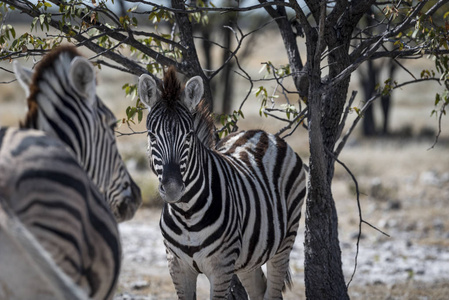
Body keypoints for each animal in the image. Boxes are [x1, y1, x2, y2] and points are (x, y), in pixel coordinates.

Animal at [138, 68, 306, 300]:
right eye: (151, 135)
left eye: (189, 135)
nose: (172, 188)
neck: (186, 213)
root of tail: (263, 133)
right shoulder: (177, 266)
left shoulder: (221, 268)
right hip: (248, 259)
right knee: (259, 289)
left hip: (284, 242)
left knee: (273, 290)